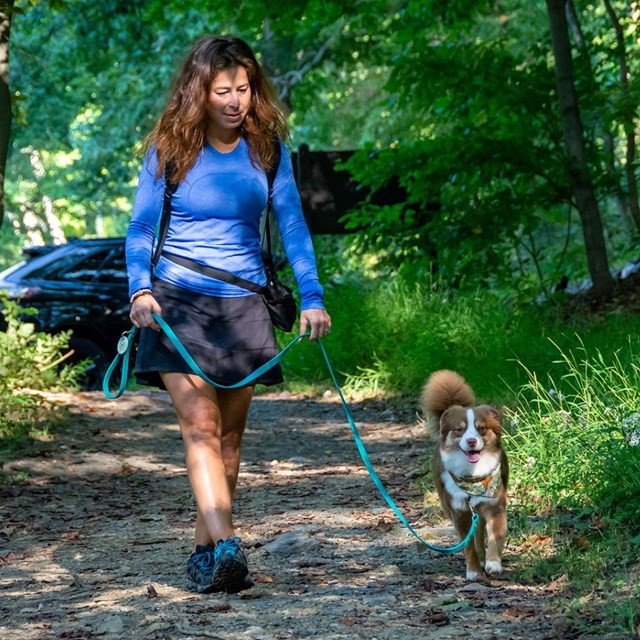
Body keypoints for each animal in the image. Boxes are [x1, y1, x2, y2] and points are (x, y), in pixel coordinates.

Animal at [422, 370, 508, 580]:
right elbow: (468, 547)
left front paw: (493, 563)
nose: (471, 441)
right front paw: (474, 571)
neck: (473, 476)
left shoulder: (495, 506)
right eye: (459, 430)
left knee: (479, 531)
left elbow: (495, 537)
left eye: (481, 428)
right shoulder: (459, 512)